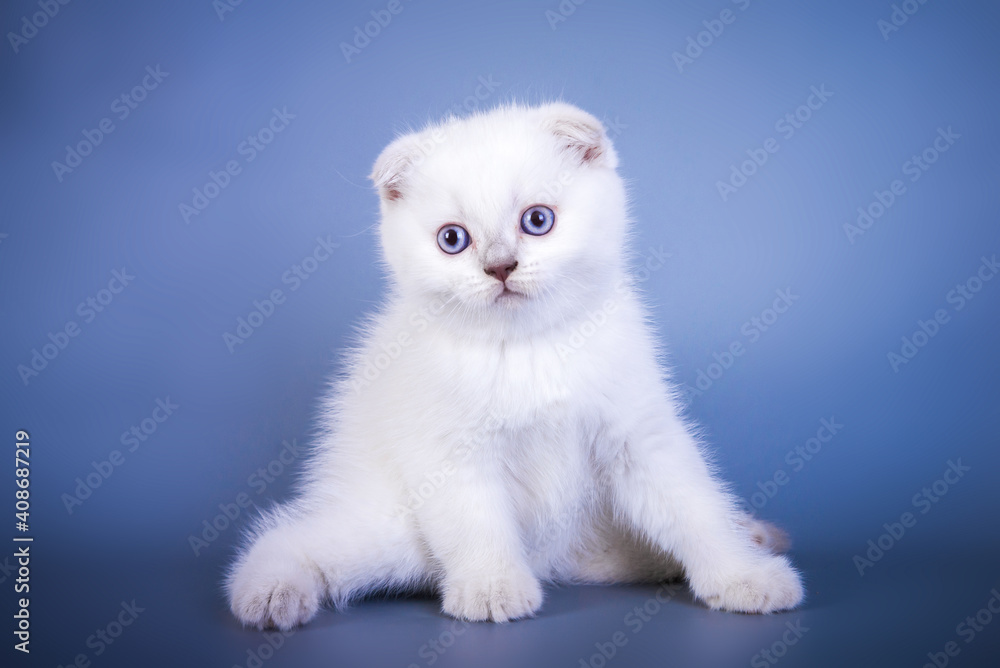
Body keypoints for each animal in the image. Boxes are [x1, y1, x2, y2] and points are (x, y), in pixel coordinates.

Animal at [225, 102, 804, 628]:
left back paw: (749, 536)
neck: (528, 348)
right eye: (452, 239)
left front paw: (744, 575)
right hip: (388, 529)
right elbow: (476, 521)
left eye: (537, 220)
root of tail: (553, 561)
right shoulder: (447, 451)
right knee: (292, 536)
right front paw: (491, 589)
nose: (500, 266)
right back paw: (269, 591)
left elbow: (693, 506)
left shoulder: (636, 433)